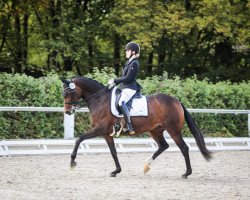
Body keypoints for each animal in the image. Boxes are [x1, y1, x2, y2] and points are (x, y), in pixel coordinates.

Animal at [60, 76, 211, 178]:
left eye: (69, 93)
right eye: (63, 94)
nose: (68, 112)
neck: (100, 100)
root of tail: (176, 101)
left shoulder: (100, 129)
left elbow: (79, 139)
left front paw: (72, 162)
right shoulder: (107, 133)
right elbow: (113, 152)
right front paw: (116, 171)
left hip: (173, 130)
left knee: (184, 148)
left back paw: (186, 173)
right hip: (155, 130)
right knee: (163, 146)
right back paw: (146, 166)